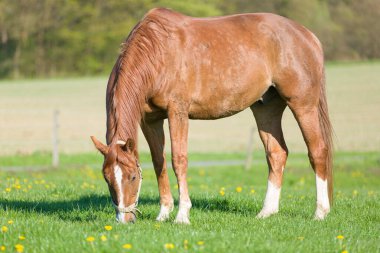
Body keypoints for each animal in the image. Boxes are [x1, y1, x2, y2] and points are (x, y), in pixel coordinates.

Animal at [91, 7, 332, 224]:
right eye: (107, 178)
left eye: (132, 176)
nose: (124, 219)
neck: (157, 52)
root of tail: (307, 35)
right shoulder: (150, 120)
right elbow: (159, 161)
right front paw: (163, 213)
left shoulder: (177, 112)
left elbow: (178, 160)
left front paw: (182, 215)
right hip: (266, 109)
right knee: (276, 154)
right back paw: (266, 212)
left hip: (303, 105)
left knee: (317, 151)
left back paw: (320, 213)